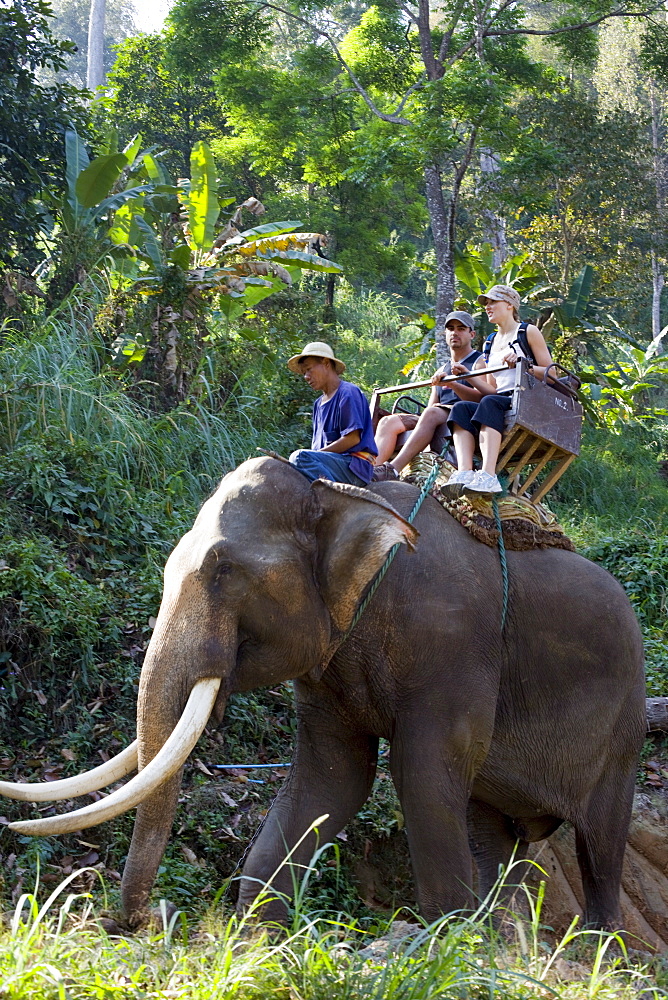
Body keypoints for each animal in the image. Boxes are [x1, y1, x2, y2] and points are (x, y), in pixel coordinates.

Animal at [0, 458, 648, 928]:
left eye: (222, 569)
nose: (137, 921)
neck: (343, 495)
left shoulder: (451, 648)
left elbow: (421, 775)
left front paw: (441, 948)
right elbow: (331, 778)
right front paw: (257, 937)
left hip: (625, 728)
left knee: (600, 843)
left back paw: (594, 949)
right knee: (496, 832)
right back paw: (505, 940)